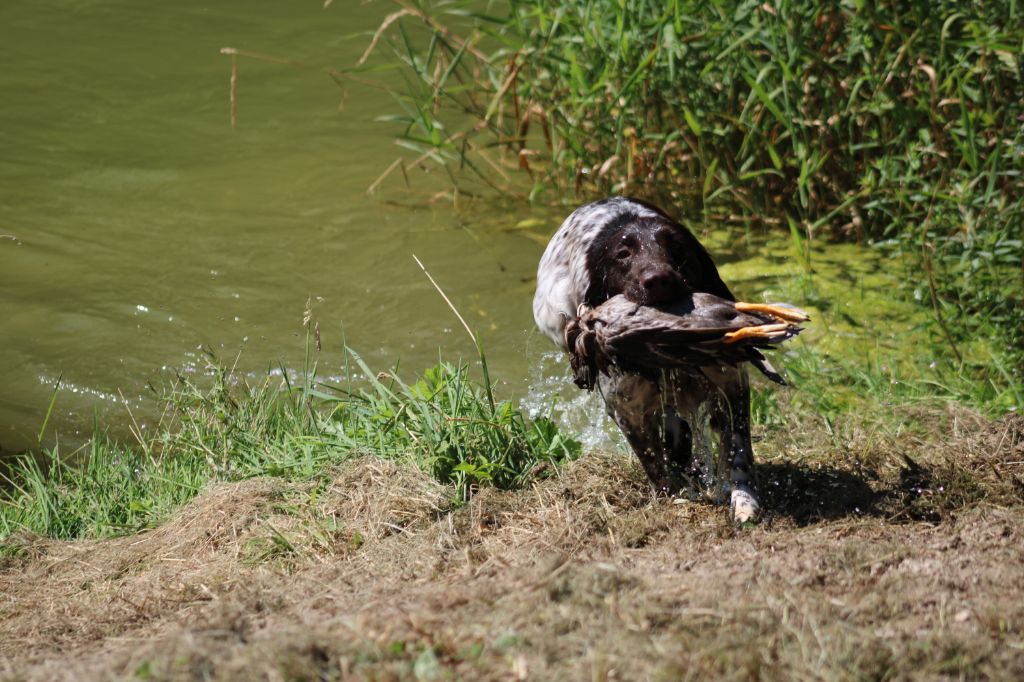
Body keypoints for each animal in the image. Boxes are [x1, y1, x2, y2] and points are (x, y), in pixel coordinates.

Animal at [536, 196, 761, 520]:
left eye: (676, 246)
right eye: (623, 254)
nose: (658, 280)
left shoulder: (732, 385)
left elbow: (738, 450)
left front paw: (745, 501)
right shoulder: (627, 410)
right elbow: (653, 461)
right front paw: (675, 494)